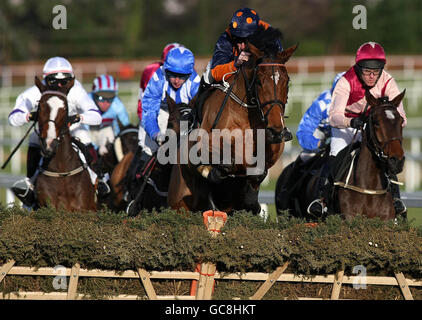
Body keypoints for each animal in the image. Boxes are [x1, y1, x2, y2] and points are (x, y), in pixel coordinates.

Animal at [167, 26, 296, 214]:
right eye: (259, 81)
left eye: (287, 81)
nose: (276, 131)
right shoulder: (205, 145)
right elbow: (224, 162)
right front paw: (211, 171)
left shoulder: (272, 153)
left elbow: (258, 171)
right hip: (179, 202)